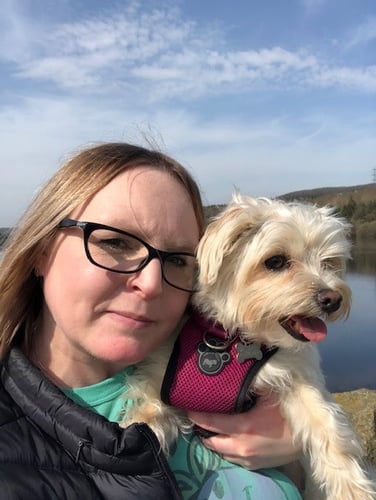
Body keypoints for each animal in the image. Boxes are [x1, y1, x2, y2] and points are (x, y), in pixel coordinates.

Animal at [122, 194, 374, 500]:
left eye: (329, 262)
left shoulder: (298, 381)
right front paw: (137, 431)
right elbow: (150, 404)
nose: (333, 299)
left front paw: (352, 488)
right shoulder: (162, 375)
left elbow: (329, 428)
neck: (235, 338)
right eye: (275, 261)